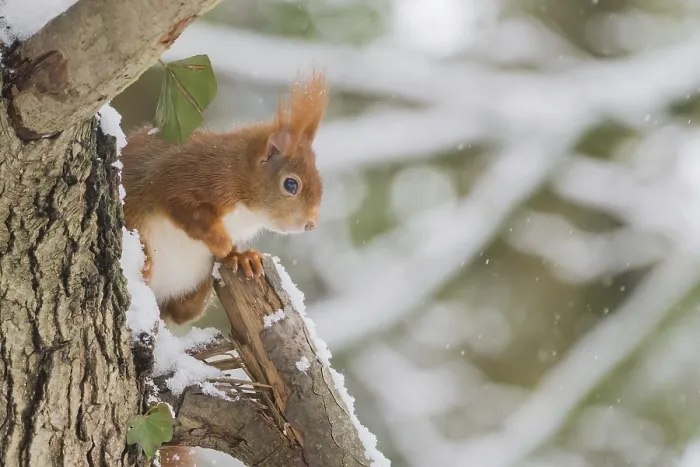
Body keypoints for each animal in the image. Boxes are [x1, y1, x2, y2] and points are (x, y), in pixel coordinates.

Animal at [121, 71, 328, 325]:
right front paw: (221, 242)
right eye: (291, 184)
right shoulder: (182, 178)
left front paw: (240, 256)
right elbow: (186, 210)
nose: (311, 224)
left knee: (184, 312)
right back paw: (145, 263)